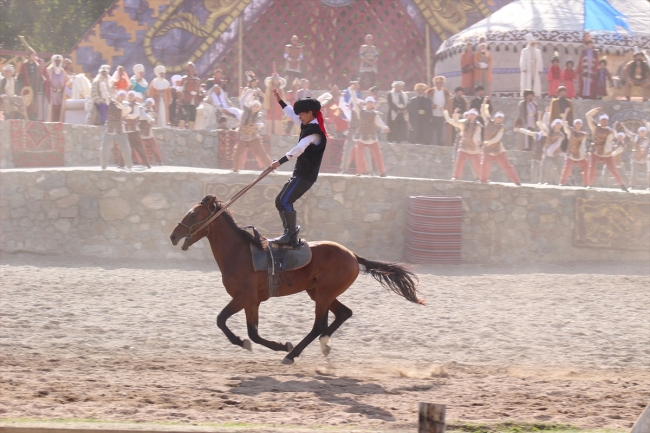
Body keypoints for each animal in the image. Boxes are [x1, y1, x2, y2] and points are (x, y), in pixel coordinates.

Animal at [170, 194, 422, 362]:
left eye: (193, 214)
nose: (173, 235)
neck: (239, 253)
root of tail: (352, 254)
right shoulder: (252, 301)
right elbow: (253, 332)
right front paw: (277, 345)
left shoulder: (243, 297)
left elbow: (221, 320)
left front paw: (251, 344)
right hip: (319, 292)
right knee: (343, 313)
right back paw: (322, 345)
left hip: (324, 293)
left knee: (320, 324)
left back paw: (293, 354)